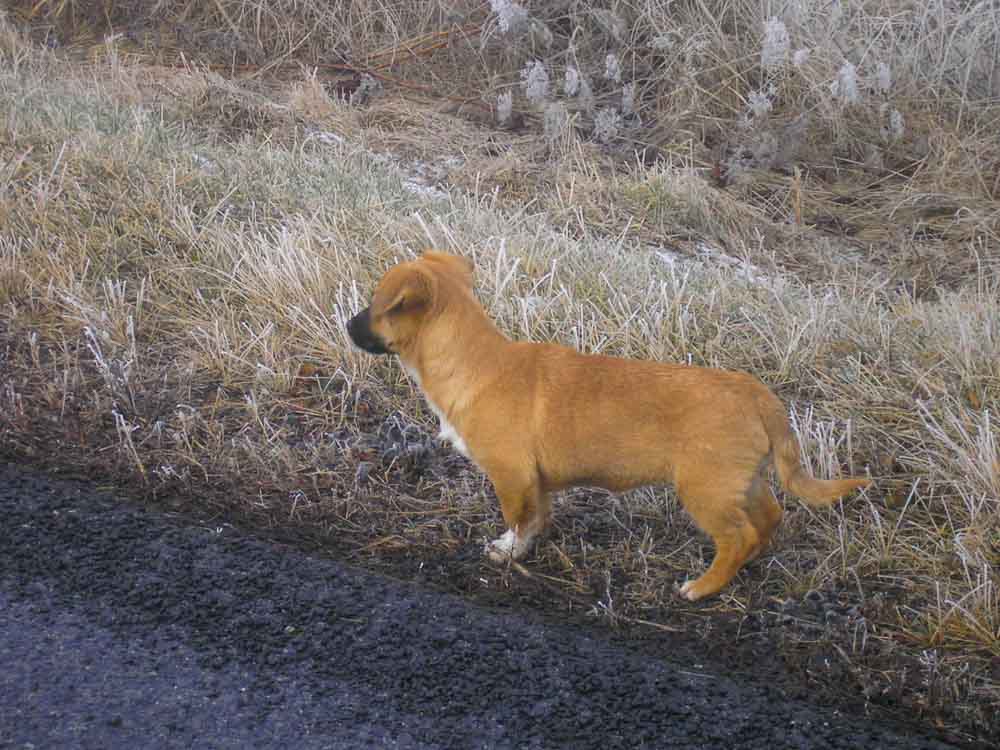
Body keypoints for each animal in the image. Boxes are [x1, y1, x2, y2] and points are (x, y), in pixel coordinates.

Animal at [348, 256, 872, 604]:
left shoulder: (511, 476)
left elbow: (518, 521)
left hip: (704, 490)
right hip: (743, 481)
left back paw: (702, 587)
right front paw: (524, 549)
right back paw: (751, 564)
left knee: (737, 537)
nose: (347, 327)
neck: (471, 362)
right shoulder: (536, 481)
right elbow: (537, 518)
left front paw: (506, 552)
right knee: (769, 519)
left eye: (376, 306)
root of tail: (759, 396)